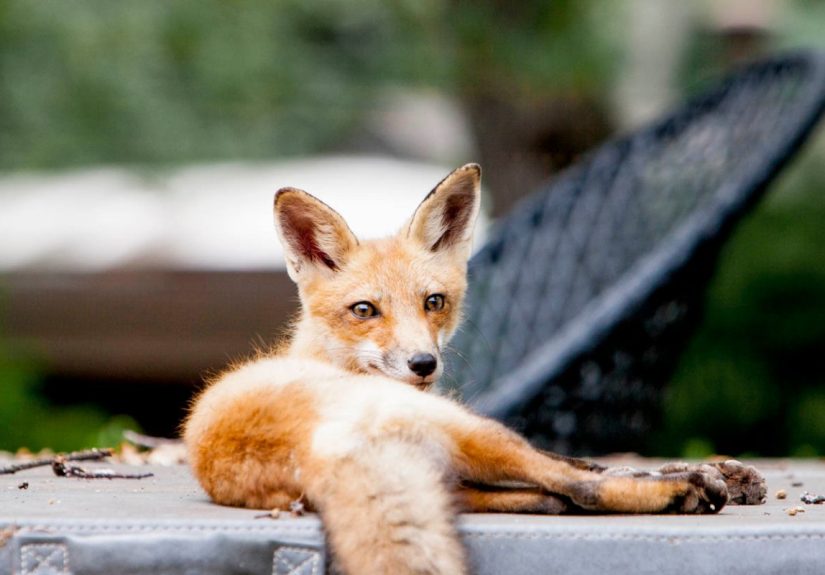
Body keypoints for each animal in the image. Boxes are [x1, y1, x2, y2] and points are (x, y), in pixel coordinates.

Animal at [183, 164, 765, 575]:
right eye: (365, 310)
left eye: (434, 302)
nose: (423, 363)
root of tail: (315, 449)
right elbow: (587, 469)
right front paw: (694, 476)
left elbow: (587, 460)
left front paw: (725, 472)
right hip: (469, 432)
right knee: (574, 489)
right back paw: (681, 492)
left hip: (454, 468)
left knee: (551, 495)